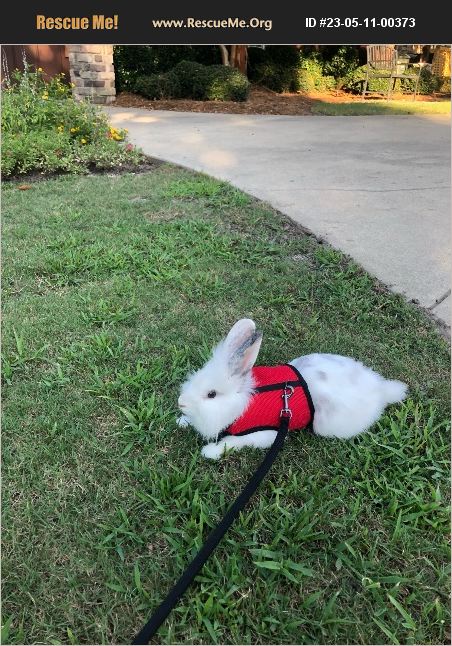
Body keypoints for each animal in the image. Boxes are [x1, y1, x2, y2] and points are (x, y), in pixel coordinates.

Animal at [177, 319, 407, 460]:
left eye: (211, 394)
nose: (181, 403)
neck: (240, 403)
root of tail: (380, 388)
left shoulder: (267, 434)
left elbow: (233, 442)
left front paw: (209, 452)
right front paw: (182, 421)